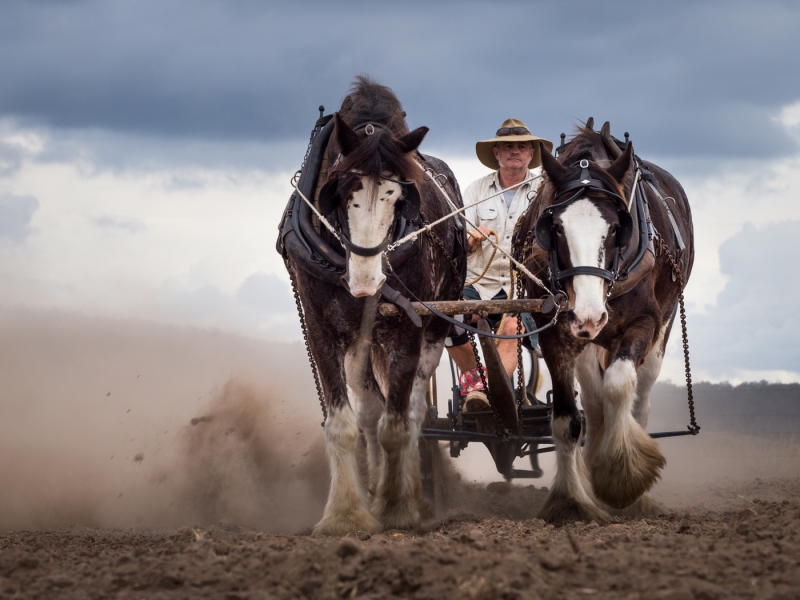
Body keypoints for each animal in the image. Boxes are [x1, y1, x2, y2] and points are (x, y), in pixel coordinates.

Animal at [282, 78, 468, 536]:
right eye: (339, 191)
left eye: (399, 197)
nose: (367, 281)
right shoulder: (321, 329)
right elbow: (344, 424)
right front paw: (345, 514)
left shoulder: (409, 325)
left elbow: (397, 425)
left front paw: (397, 507)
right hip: (362, 344)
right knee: (368, 412)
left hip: (430, 333)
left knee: (414, 413)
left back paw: (409, 493)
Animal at [520, 124, 692, 524]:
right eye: (556, 228)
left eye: (615, 228)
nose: (588, 314)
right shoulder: (556, 331)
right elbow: (567, 420)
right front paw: (571, 501)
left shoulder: (644, 323)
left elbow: (619, 385)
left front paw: (622, 478)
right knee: (594, 407)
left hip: (660, 332)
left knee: (637, 402)